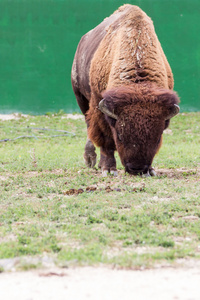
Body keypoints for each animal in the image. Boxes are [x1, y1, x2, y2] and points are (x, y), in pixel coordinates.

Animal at [71, 4, 180, 176]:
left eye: (157, 138)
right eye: (120, 136)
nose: (137, 169)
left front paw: (151, 170)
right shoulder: (100, 106)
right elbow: (105, 139)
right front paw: (109, 169)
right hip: (81, 97)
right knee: (89, 125)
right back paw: (91, 160)